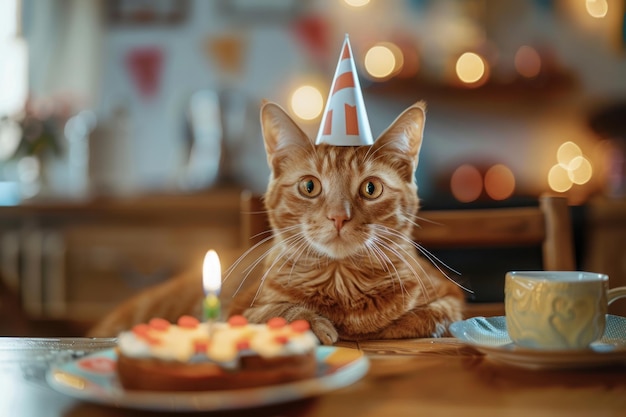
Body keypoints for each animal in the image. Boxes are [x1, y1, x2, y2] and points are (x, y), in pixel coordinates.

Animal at [90, 100, 466, 342]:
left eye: (370, 188)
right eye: (310, 186)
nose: (338, 216)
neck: (342, 285)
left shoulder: (451, 296)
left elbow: (434, 313)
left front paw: (394, 324)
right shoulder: (235, 310)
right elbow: (273, 312)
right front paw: (309, 321)